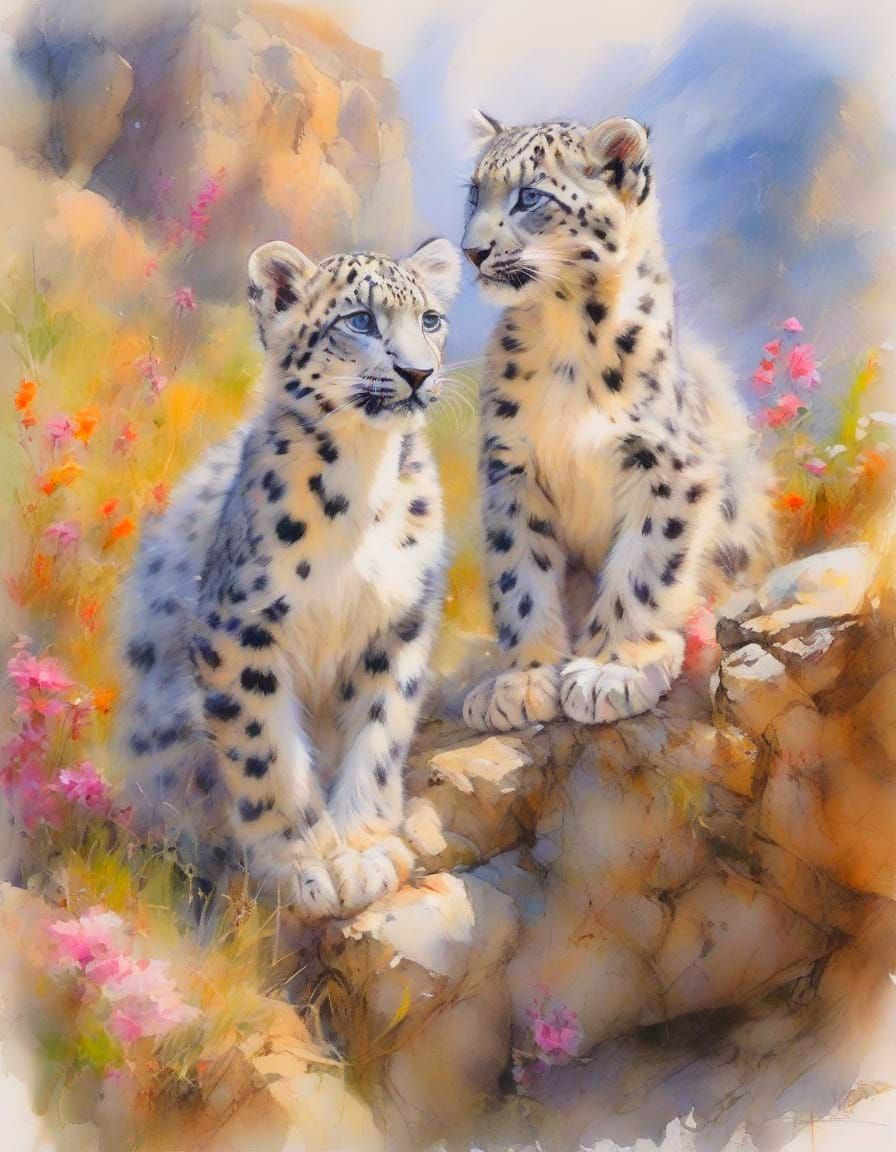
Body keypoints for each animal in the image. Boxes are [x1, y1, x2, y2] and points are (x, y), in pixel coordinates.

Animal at [117, 237, 461, 921]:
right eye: (361, 320)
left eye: (431, 319)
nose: (417, 373)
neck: (362, 486)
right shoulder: (240, 629)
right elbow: (266, 751)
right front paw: (304, 865)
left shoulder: (398, 626)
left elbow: (378, 737)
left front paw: (362, 852)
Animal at [459, 113, 776, 732]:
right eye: (474, 193)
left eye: (530, 196)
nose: (472, 251)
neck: (565, 335)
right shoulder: (510, 471)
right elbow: (520, 574)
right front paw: (522, 679)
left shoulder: (669, 466)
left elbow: (645, 568)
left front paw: (611, 670)